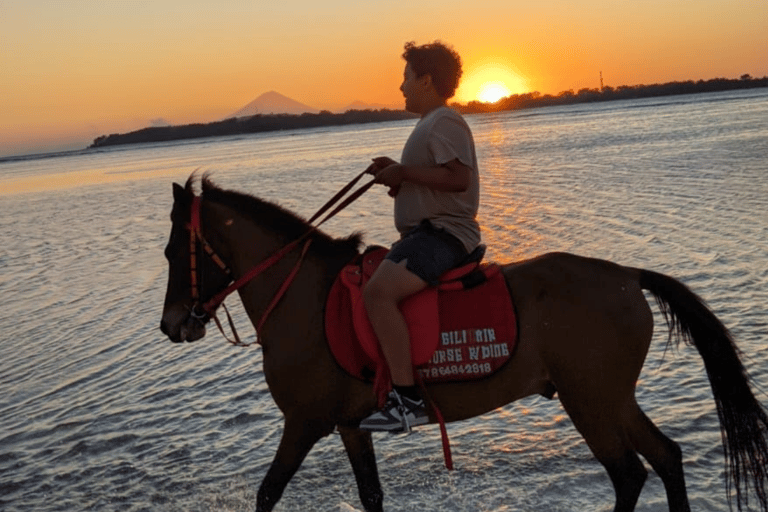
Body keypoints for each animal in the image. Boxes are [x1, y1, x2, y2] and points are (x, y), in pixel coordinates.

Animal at [159, 174, 764, 510]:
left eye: (170, 252)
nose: (172, 325)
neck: (304, 296)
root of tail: (625, 275)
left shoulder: (303, 423)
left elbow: (268, 493)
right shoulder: (350, 426)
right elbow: (371, 496)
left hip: (590, 400)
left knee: (630, 474)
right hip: (611, 397)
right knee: (665, 459)